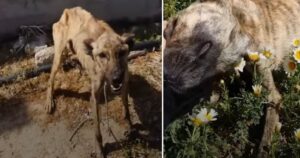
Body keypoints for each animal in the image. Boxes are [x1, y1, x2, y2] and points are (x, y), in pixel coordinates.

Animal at [44, 6, 132, 157]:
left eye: (121, 53)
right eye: (102, 55)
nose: (116, 78)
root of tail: (68, 10)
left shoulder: (124, 83)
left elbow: (126, 107)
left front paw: (130, 124)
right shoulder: (95, 98)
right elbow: (97, 132)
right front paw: (100, 149)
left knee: (74, 55)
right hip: (58, 55)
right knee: (50, 80)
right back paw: (50, 100)